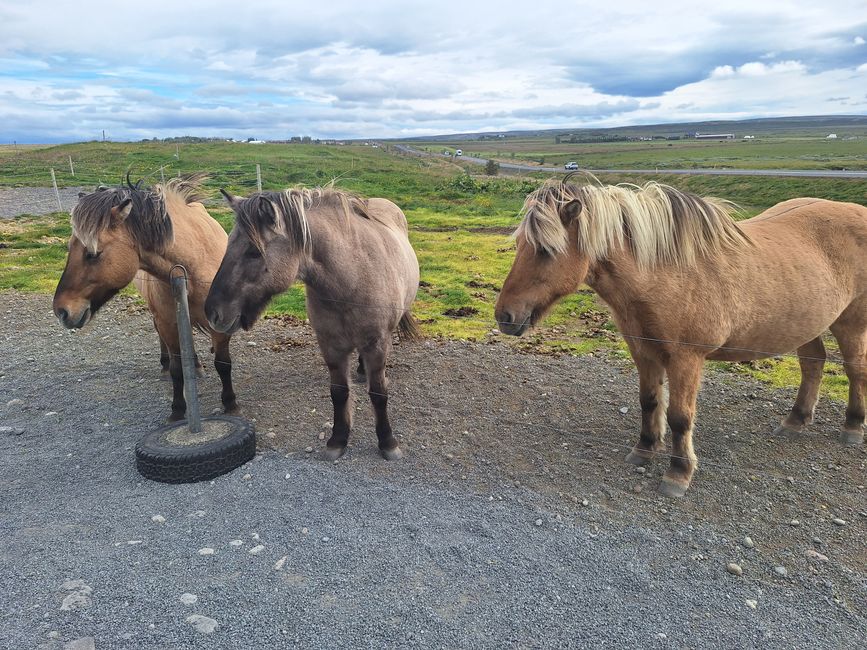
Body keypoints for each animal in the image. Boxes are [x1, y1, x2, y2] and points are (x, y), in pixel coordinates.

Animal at [52, 173, 239, 420]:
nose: (61, 311)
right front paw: (177, 409)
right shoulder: (168, 322)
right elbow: (177, 369)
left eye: (92, 253)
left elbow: (223, 363)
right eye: (69, 247)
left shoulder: (220, 322)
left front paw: (230, 403)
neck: (193, 268)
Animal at [204, 186, 420, 460]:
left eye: (253, 251)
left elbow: (379, 394)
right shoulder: (330, 345)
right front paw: (337, 440)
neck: (353, 278)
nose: (212, 312)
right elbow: (339, 393)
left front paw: (387, 442)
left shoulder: (377, 344)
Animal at [496, 180, 867, 494]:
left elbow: (679, 416)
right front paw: (644, 449)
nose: (504, 316)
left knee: (855, 371)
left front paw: (678, 473)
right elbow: (649, 401)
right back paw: (795, 421)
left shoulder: (687, 359)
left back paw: (852, 427)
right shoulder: (643, 351)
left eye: (546, 250)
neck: (665, 273)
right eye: (520, 244)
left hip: (849, 323)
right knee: (813, 364)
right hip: (806, 324)